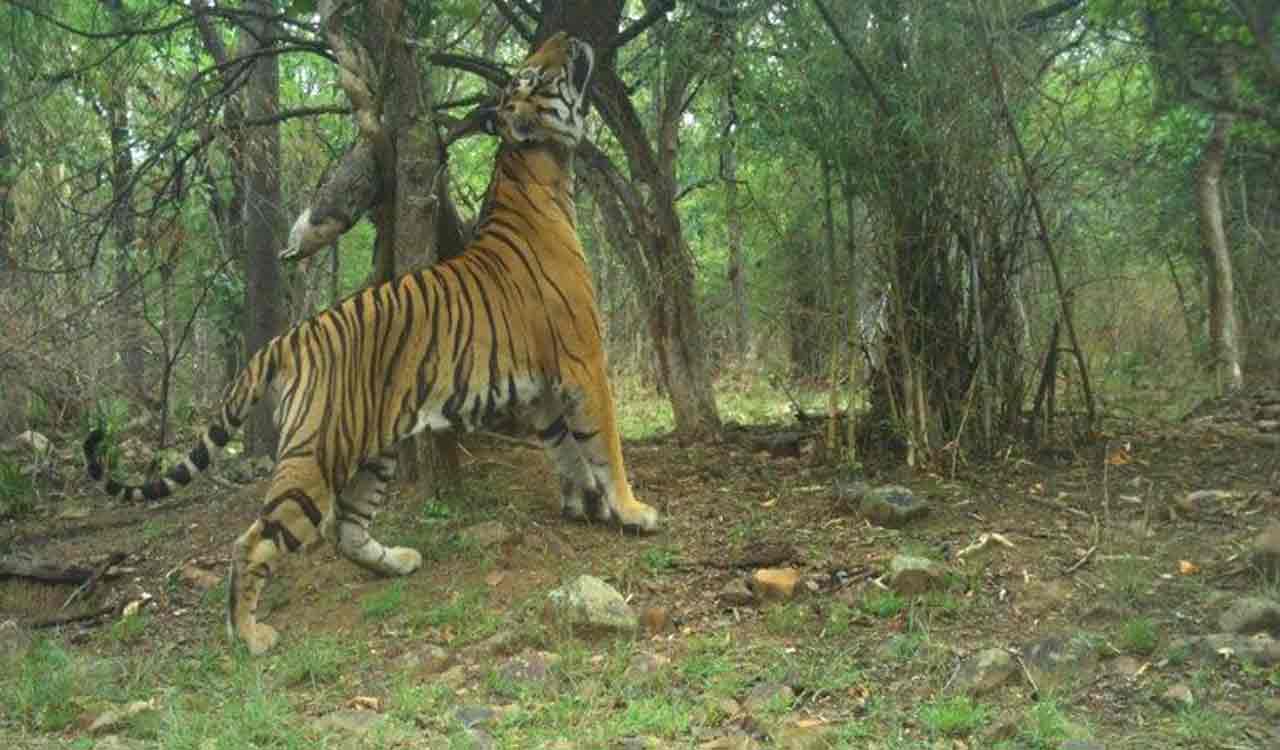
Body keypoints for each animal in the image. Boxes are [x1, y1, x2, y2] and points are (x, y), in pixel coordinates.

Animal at [84, 32, 659, 655]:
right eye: (530, 74)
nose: (566, 37)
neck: (539, 173)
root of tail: (289, 338)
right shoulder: (584, 361)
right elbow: (605, 445)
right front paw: (632, 510)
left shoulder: (543, 386)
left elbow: (564, 448)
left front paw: (585, 505)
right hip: (317, 455)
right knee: (257, 539)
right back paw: (250, 634)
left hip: (372, 447)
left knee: (347, 530)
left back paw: (398, 562)